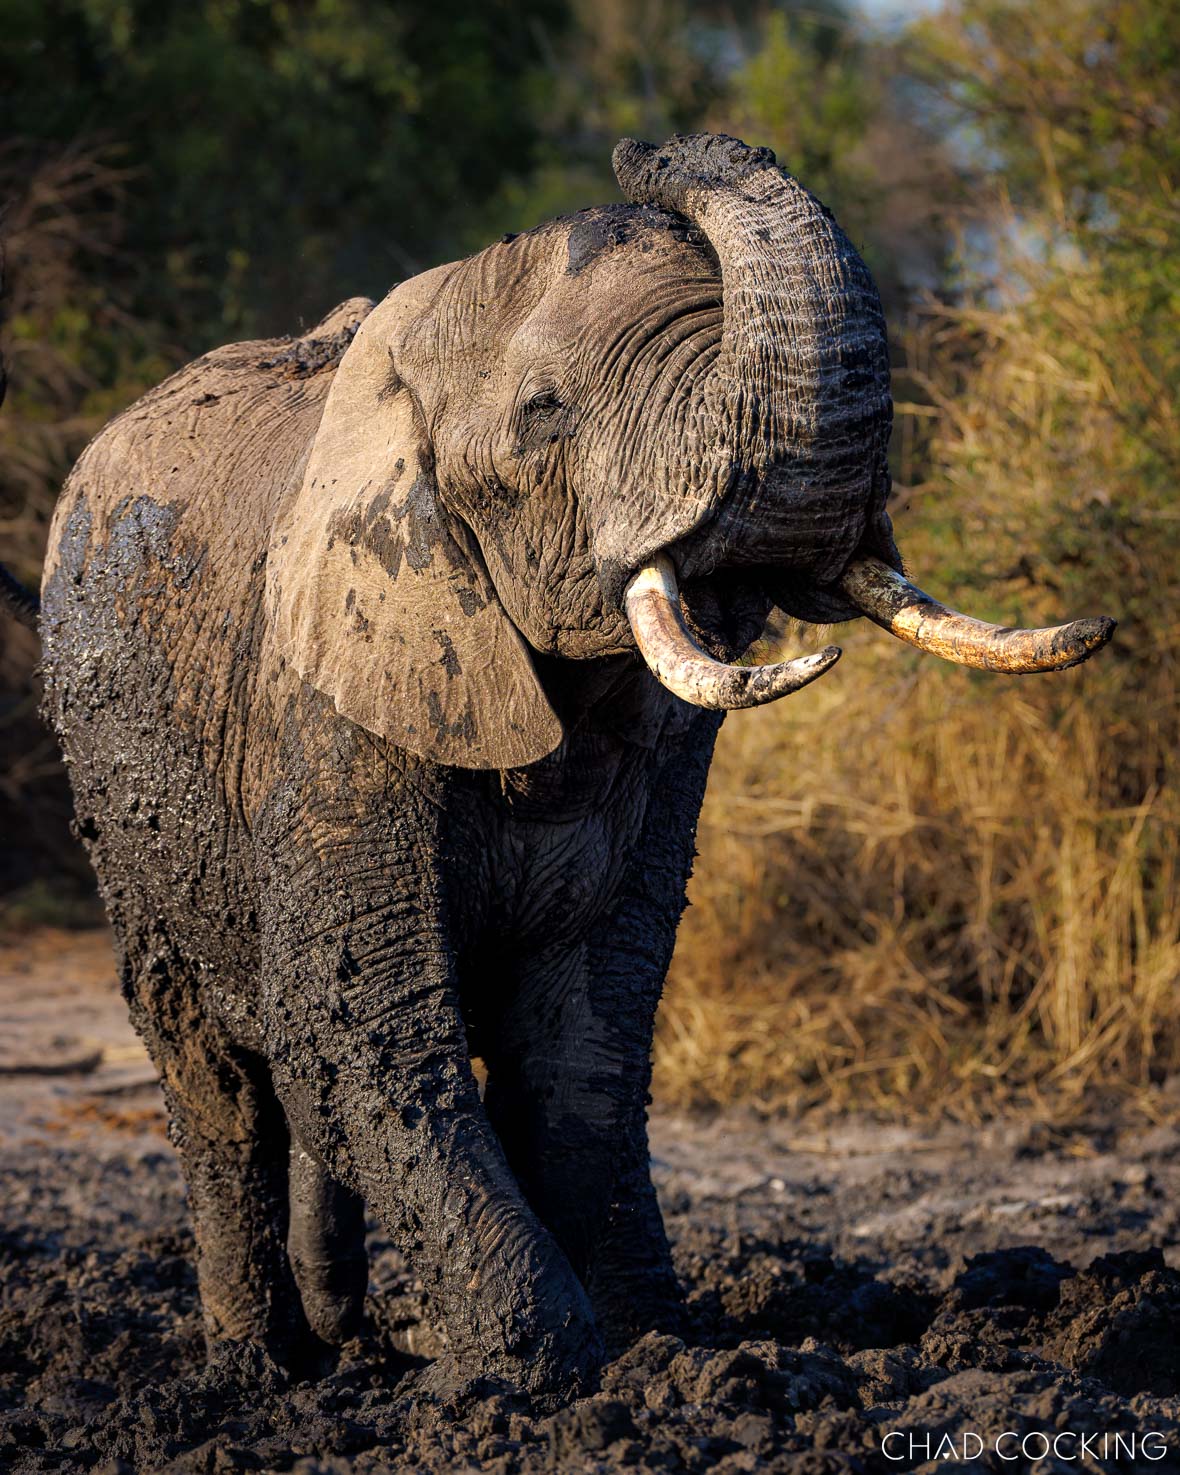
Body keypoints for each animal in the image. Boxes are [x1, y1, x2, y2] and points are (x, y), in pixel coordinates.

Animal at [5, 133, 1113, 1396]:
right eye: (545, 413)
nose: (644, 152)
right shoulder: (329, 691)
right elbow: (364, 1016)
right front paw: (539, 1366)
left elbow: (584, 1036)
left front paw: (658, 1344)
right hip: (116, 790)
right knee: (215, 1076)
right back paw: (260, 1369)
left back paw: (348, 1343)